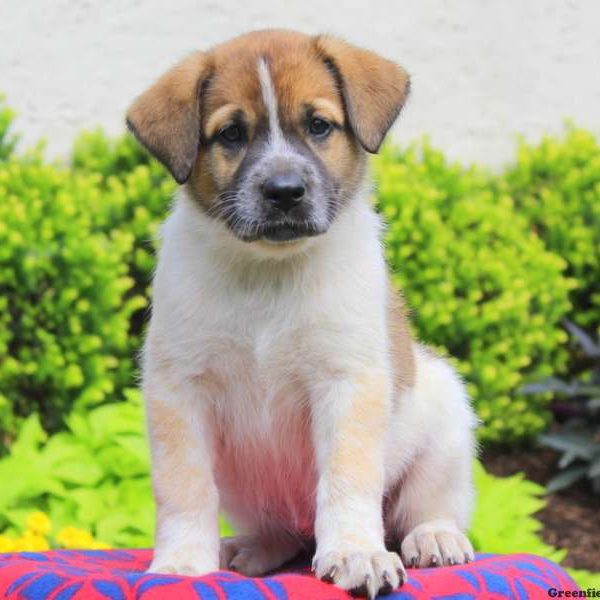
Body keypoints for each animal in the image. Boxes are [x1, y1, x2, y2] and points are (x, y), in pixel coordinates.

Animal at [127, 29, 478, 600]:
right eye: (231, 133)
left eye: (318, 125)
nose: (285, 191)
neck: (270, 272)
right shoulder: (179, 388)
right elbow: (184, 487)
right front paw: (181, 563)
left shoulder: (347, 382)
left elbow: (347, 479)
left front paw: (356, 552)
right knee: (281, 534)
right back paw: (250, 548)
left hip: (445, 417)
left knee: (427, 506)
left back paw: (434, 537)